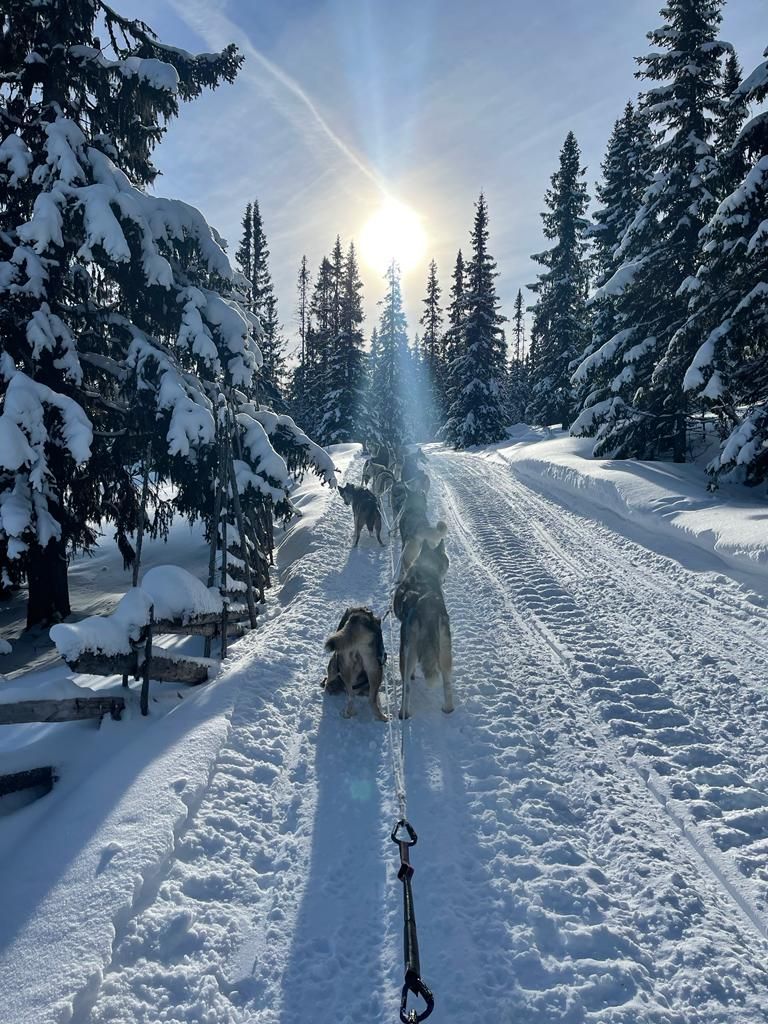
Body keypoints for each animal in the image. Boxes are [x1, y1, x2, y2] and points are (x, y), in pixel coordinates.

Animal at [393, 542, 453, 717]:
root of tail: (429, 607)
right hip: (445, 651)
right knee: (447, 682)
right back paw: (448, 709)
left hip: (406, 652)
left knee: (406, 687)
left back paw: (403, 714)